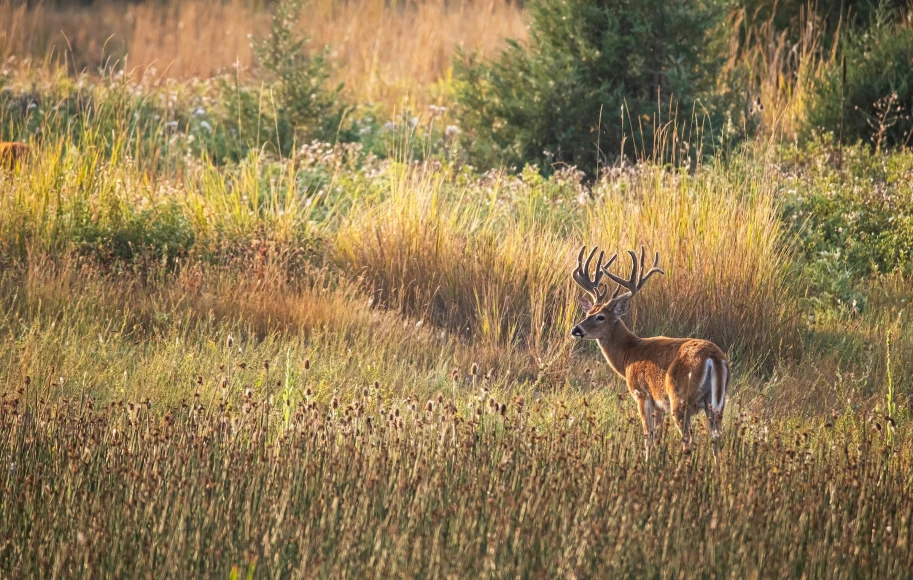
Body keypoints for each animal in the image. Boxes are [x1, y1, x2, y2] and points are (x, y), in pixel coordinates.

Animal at [568, 245, 732, 454]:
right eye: (588, 312)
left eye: (601, 317)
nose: (576, 330)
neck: (629, 355)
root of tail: (714, 358)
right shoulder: (659, 404)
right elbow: (657, 438)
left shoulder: (642, 394)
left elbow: (648, 436)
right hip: (717, 402)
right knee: (716, 438)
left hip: (680, 398)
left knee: (689, 439)